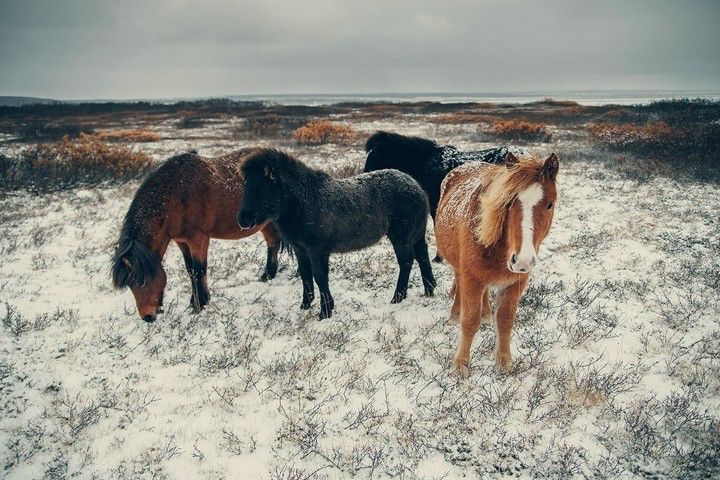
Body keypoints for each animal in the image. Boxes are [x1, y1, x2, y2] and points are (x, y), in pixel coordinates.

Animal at [112, 149, 282, 322]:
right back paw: (268, 276)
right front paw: (196, 301)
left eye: (141, 282)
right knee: (273, 244)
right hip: (266, 224)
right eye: (130, 285)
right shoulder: (181, 241)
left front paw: (199, 305)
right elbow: (190, 270)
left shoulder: (198, 238)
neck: (176, 194)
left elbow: (198, 270)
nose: (147, 317)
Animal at [239, 146, 436, 318]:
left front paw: (325, 312)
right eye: (245, 186)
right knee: (422, 255)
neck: (305, 201)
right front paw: (305, 306)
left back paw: (397, 297)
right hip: (416, 235)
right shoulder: (300, 249)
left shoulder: (317, 250)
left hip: (400, 237)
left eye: (260, 187)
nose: (243, 220)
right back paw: (429, 289)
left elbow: (320, 277)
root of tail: (417, 188)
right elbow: (305, 275)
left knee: (406, 262)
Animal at [434, 152, 556, 376]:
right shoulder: (471, 279)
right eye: (509, 203)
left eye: (550, 204)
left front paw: (503, 360)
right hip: (459, 266)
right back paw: (455, 313)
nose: (522, 261)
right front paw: (460, 364)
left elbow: (505, 321)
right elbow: (469, 321)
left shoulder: (515, 284)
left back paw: (486, 314)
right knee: (458, 280)